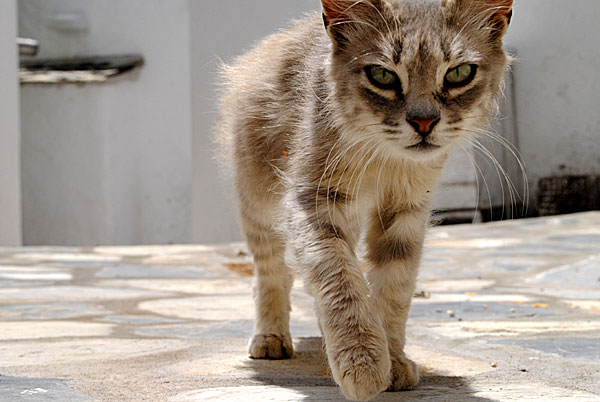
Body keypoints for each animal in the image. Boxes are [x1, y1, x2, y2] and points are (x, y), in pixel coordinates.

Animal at [218, 1, 512, 400]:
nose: (424, 122)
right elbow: (340, 279)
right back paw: (271, 336)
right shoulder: (314, 201)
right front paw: (362, 360)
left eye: (459, 73)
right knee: (271, 274)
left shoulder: (406, 212)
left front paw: (392, 357)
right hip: (260, 207)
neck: (383, 160)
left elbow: (393, 290)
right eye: (382, 76)